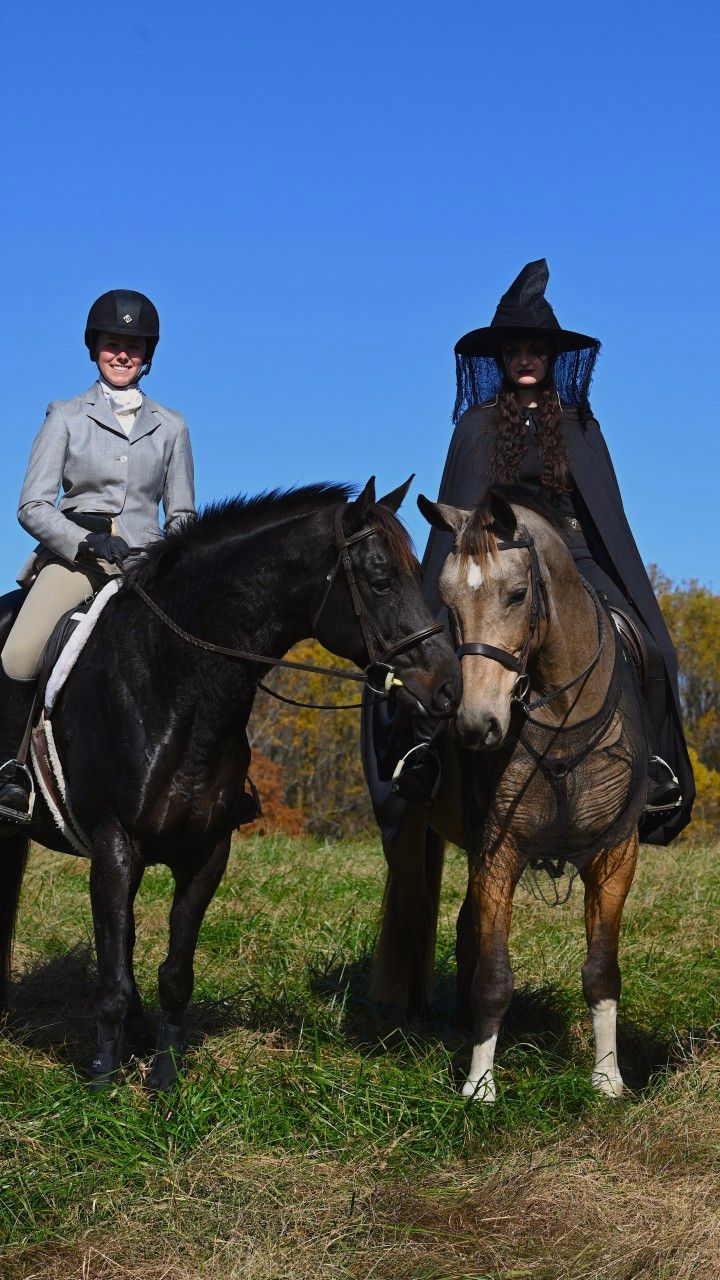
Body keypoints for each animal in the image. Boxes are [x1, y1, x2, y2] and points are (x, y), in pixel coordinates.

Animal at [0, 477, 461, 1091]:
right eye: (383, 581)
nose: (449, 688)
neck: (173, 684)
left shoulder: (208, 850)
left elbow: (173, 972)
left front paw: (164, 1076)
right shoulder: (115, 844)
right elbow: (113, 976)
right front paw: (101, 1082)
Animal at [370, 486, 647, 1102]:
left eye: (518, 594)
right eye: (447, 602)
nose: (476, 726)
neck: (562, 723)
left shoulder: (616, 854)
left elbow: (601, 970)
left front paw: (607, 1079)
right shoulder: (498, 852)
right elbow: (493, 977)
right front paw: (479, 1085)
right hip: (410, 835)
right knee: (416, 916)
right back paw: (413, 1020)